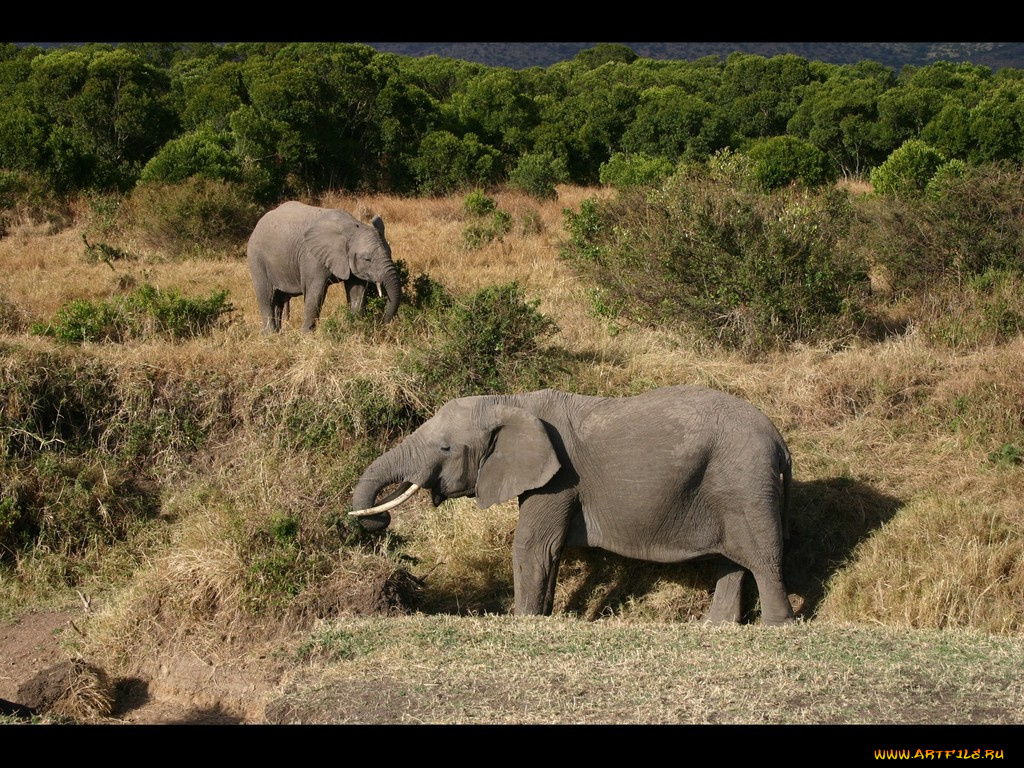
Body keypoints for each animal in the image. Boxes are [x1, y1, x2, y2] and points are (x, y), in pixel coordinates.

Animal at [245, 199, 401, 331]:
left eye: (390, 253)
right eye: (368, 259)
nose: (382, 322)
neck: (351, 228)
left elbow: (357, 291)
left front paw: (356, 328)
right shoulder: (311, 257)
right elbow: (315, 293)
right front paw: (307, 336)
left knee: (278, 301)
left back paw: (279, 334)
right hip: (256, 257)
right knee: (266, 296)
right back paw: (270, 334)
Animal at [352, 385, 798, 626]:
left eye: (445, 448)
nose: (380, 520)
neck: (513, 401)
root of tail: (780, 441)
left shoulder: (561, 475)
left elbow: (534, 546)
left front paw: (523, 620)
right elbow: (551, 549)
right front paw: (544, 615)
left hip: (745, 481)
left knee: (762, 556)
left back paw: (776, 626)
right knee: (735, 560)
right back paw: (714, 627)